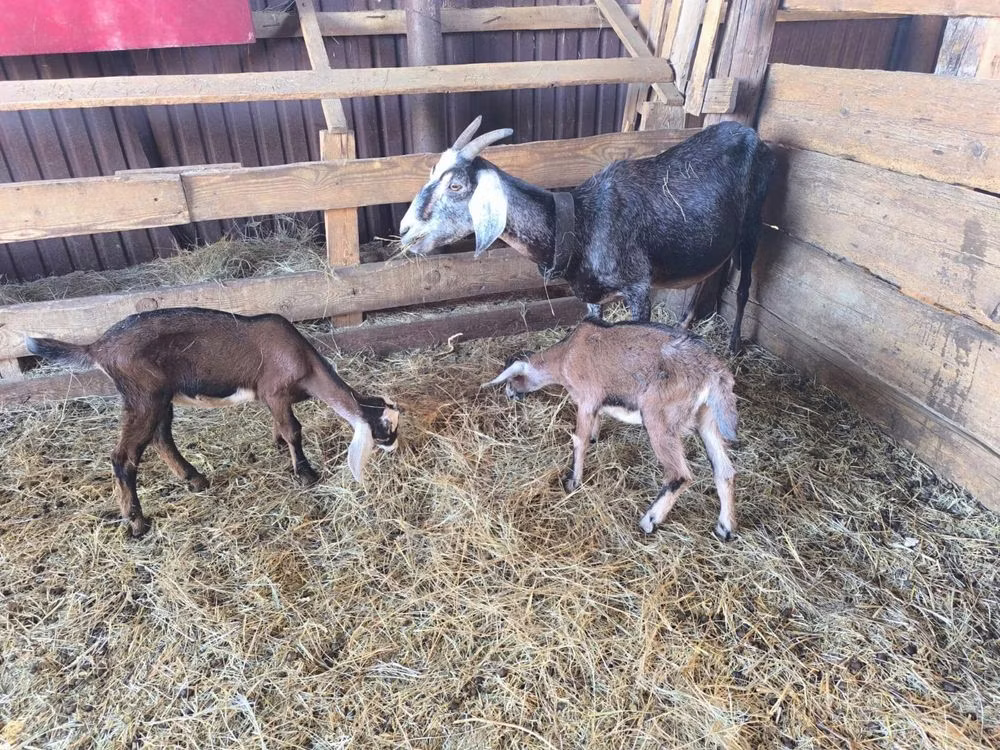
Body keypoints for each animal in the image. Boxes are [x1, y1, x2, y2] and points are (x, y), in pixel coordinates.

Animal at [25, 307, 399, 537]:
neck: (304, 363)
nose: (395, 445)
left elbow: (280, 427)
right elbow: (294, 430)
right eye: (385, 428)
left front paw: (278, 446)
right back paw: (137, 523)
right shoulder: (276, 391)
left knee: (161, 439)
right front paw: (305, 473)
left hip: (159, 399)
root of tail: (98, 347)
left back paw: (195, 479)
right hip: (143, 397)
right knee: (124, 457)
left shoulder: (272, 400)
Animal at [399, 117, 774, 353]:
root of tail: (752, 134)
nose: (405, 231)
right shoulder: (591, 295)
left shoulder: (639, 288)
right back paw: (685, 325)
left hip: (754, 223)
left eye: (456, 185)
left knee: (744, 285)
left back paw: (734, 346)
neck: (582, 223)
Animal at [484, 317, 739, 541]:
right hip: (707, 420)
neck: (567, 354)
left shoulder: (587, 399)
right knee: (724, 470)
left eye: (511, 379)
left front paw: (572, 482)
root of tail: (713, 372)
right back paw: (724, 528)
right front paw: (595, 438)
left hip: (659, 418)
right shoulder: (595, 404)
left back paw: (650, 521)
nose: (509, 395)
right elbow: (595, 424)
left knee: (679, 474)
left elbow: (579, 440)